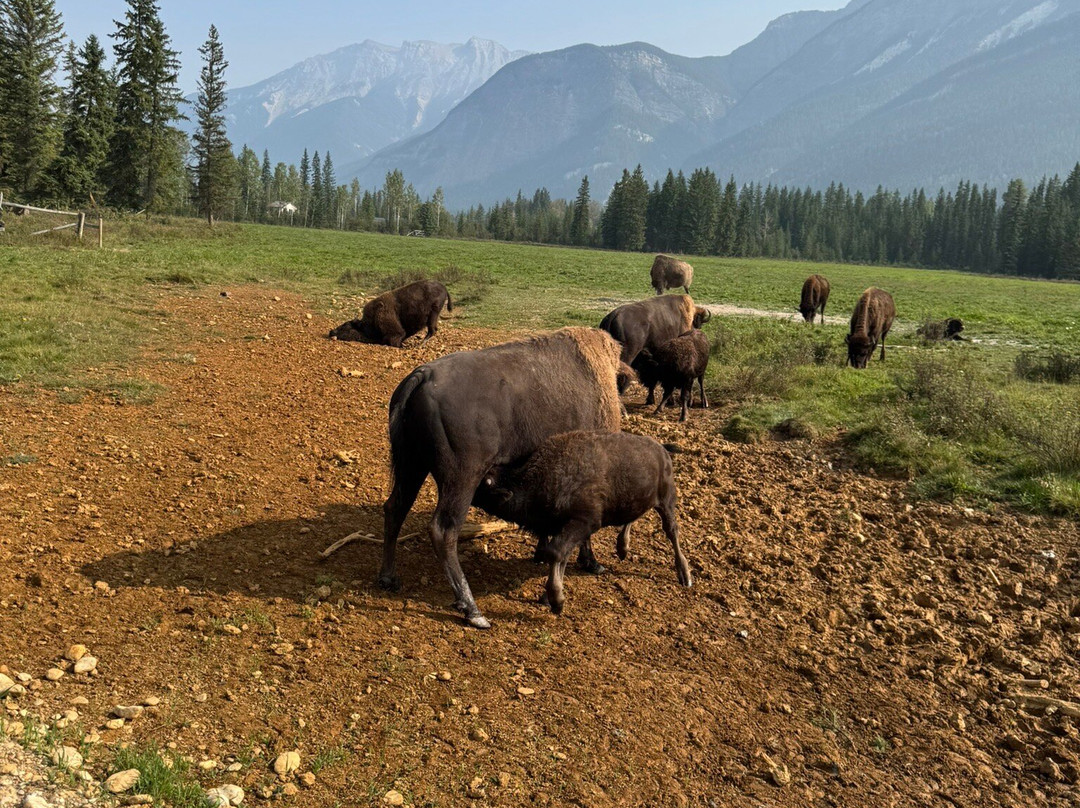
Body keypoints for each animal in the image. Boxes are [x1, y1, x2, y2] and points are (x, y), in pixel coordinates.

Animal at [378, 328, 625, 628]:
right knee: (443, 530)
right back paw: (473, 611)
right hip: (461, 480)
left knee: (395, 509)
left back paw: (388, 578)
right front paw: (591, 563)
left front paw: (542, 554)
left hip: (411, 467)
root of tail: (423, 375)